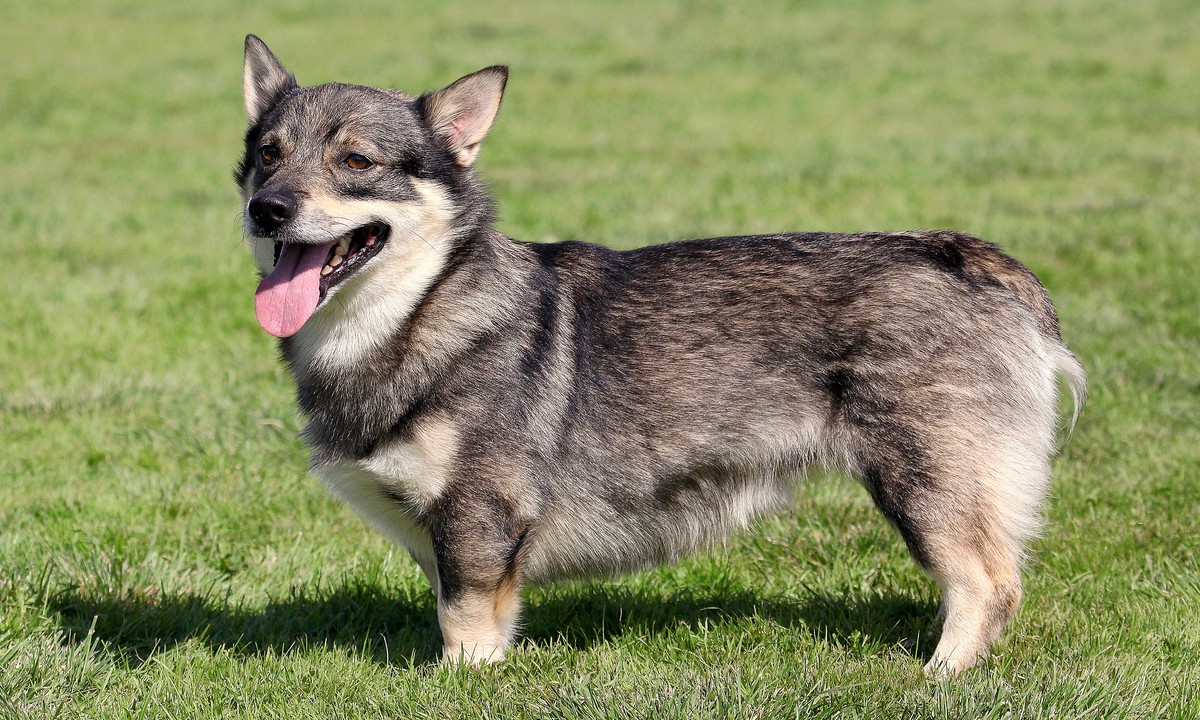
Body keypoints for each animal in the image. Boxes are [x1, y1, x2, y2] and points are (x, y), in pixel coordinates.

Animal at [236, 35, 1089, 676]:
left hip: (925, 478)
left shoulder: (480, 518)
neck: (420, 309)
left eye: (355, 162)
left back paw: (939, 675)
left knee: (987, 583)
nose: (267, 208)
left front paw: (460, 683)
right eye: (268, 154)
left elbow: (466, 622)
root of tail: (968, 258)